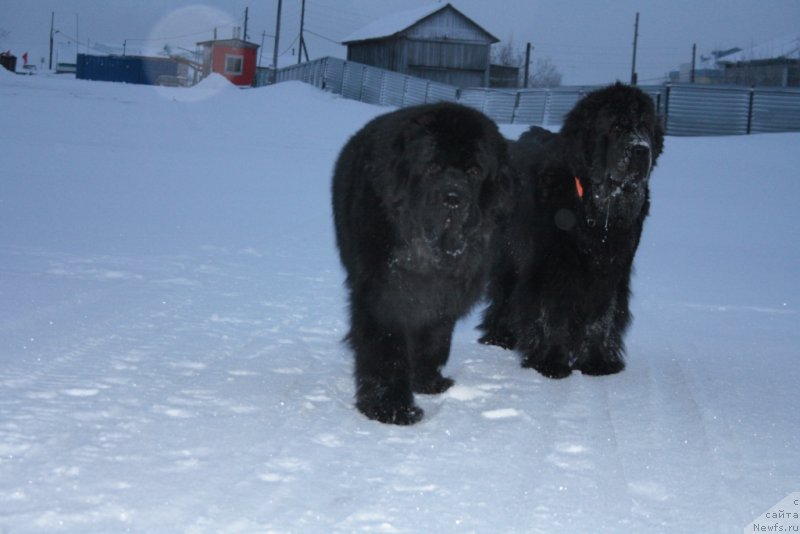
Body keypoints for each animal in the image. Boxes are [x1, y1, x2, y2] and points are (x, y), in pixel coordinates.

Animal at [332, 102, 512, 426]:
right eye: (432, 168)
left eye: (475, 171)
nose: (453, 197)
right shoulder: (384, 294)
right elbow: (387, 349)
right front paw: (391, 408)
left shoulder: (444, 296)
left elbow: (435, 337)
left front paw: (427, 380)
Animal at [478, 81, 664, 378]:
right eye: (615, 127)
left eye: (645, 126)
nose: (640, 150)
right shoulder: (553, 264)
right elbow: (553, 313)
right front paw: (551, 362)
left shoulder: (611, 268)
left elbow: (603, 315)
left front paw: (598, 362)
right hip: (508, 254)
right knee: (504, 292)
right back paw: (500, 336)